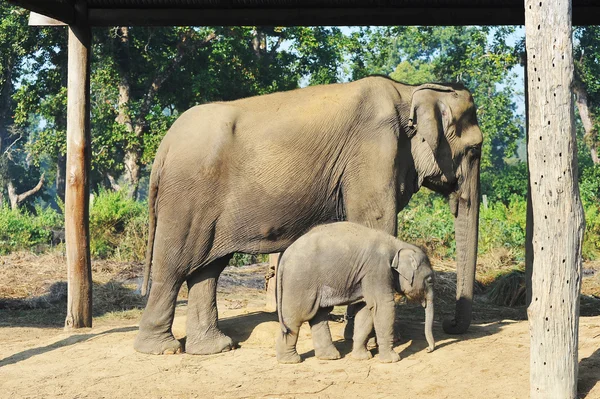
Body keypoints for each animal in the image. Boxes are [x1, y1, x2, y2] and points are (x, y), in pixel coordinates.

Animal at [274, 222, 434, 366]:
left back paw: (329, 357)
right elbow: (383, 306)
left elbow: (366, 311)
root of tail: (284, 256)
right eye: (430, 279)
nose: (428, 350)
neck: (397, 244)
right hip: (300, 282)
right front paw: (392, 360)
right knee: (296, 318)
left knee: (319, 315)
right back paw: (290, 361)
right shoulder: (377, 269)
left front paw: (363, 357)